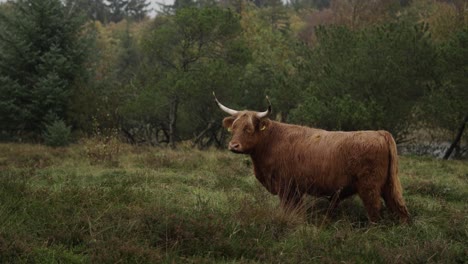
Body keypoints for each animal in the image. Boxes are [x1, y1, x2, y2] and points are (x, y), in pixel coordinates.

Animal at [216, 94, 410, 223]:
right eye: (234, 128)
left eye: (248, 129)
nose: (233, 146)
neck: (271, 141)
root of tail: (379, 133)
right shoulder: (295, 190)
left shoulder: (286, 187)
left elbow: (289, 210)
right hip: (389, 186)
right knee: (400, 211)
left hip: (369, 187)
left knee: (375, 212)